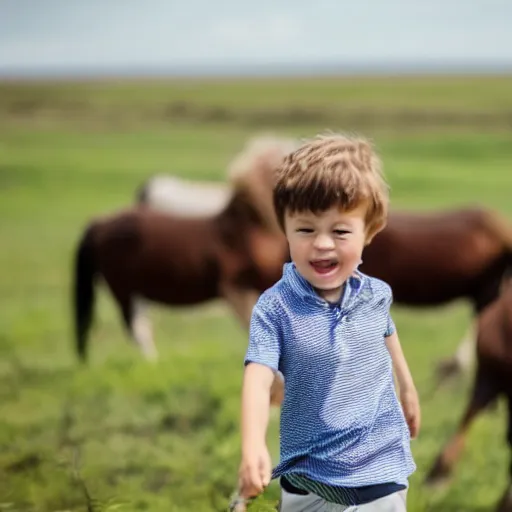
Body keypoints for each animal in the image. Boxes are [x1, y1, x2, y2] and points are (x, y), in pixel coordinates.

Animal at [71, 135, 296, 364]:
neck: (251, 230)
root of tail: (98, 224)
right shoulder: (235, 288)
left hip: (136, 290)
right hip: (124, 290)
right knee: (138, 329)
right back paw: (153, 363)